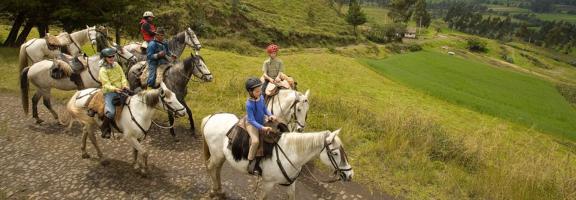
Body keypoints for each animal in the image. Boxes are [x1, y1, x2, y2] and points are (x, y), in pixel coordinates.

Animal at [202, 113, 356, 199]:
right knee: (210, 167)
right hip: (216, 155)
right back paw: (214, 191)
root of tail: (211, 117)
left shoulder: (291, 184)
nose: (350, 175)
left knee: (217, 169)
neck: (289, 153)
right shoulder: (268, 184)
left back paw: (220, 191)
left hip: (221, 156)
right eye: (335, 153)